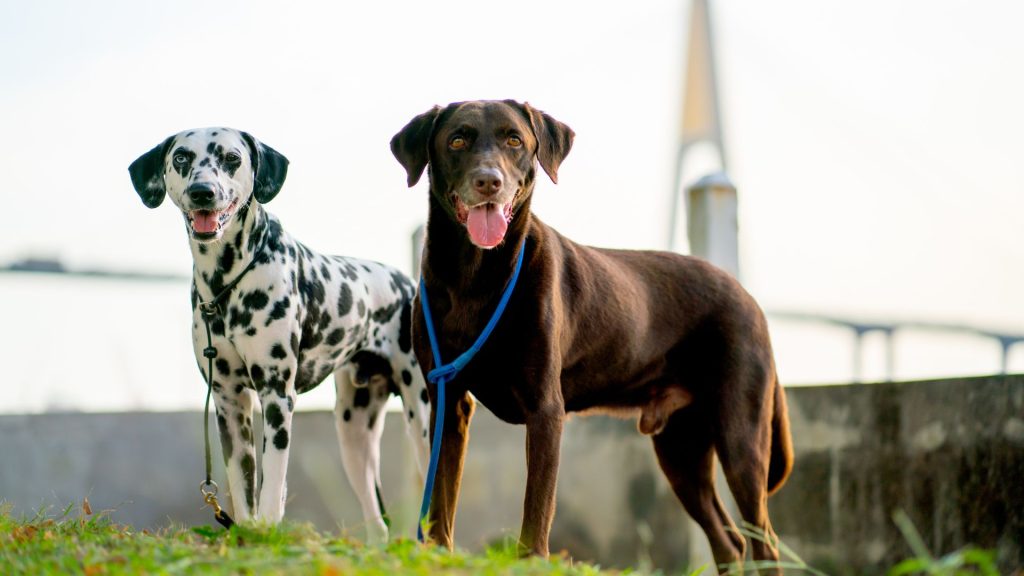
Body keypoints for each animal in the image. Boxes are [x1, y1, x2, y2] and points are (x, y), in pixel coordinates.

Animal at [129, 126, 432, 537]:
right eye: (181, 158)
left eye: (231, 158)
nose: (203, 191)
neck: (225, 285)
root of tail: (406, 283)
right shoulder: (229, 404)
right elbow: (243, 488)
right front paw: (247, 533)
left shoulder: (276, 397)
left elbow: (272, 483)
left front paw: (269, 528)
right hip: (354, 433)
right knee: (378, 521)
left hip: (423, 420)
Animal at [389, 99, 790, 569]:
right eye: (456, 140)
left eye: (514, 140)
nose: (489, 181)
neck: (475, 276)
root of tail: (748, 296)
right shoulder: (449, 401)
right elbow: (441, 499)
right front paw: (438, 555)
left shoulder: (546, 407)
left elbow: (537, 505)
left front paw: (533, 561)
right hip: (682, 450)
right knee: (730, 541)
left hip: (741, 436)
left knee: (764, 540)